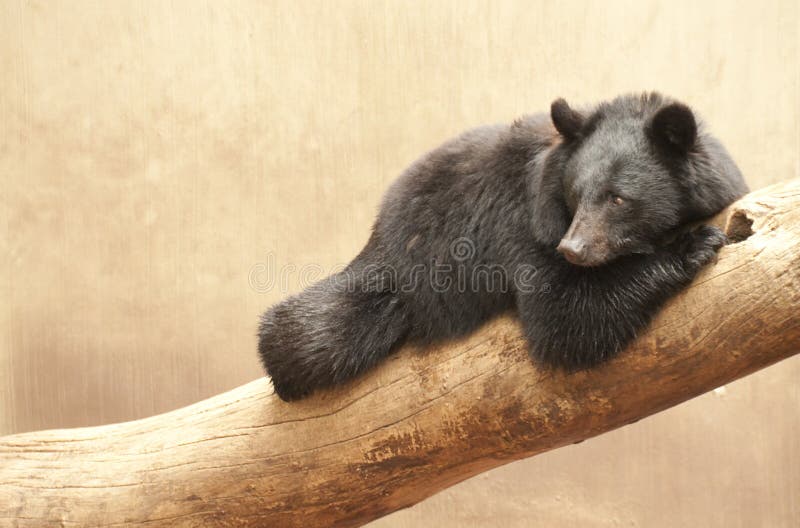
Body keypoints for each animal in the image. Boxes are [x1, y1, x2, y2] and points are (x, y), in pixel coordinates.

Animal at [258, 94, 752, 400]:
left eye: (618, 198)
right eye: (575, 194)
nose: (572, 249)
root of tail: (378, 228)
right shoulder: (524, 227)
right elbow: (564, 315)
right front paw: (695, 243)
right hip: (396, 278)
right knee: (310, 333)